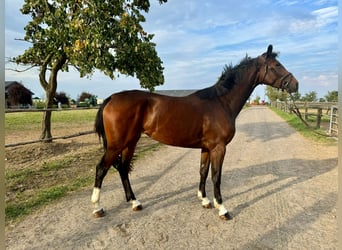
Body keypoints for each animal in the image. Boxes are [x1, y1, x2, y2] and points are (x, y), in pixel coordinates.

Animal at [92, 45, 298, 221]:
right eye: (277, 65)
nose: (295, 85)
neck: (221, 102)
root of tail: (111, 98)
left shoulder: (206, 148)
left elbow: (203, 171)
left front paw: (204, 200)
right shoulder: (218, 148)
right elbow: (216, 176)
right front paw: (222, 208)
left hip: (131, 142)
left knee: (123, 168)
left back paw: (135, 202)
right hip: (117, 145)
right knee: (102, 168)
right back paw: (98, 207)